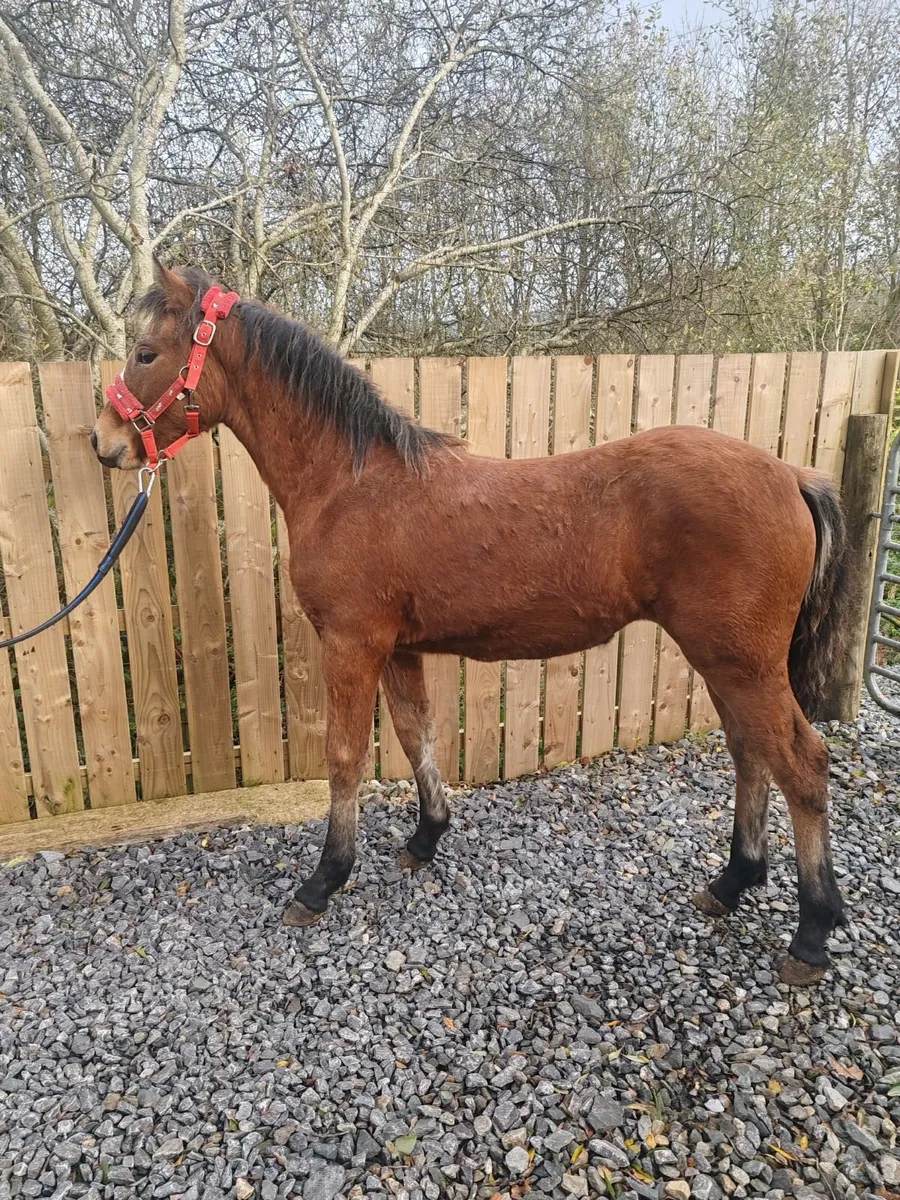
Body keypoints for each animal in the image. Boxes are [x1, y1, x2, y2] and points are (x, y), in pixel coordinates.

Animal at [92, 263, 855, 986]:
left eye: (147, 352)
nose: (104, 442)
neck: (350, 483)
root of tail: (791, 476)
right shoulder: (397, 648)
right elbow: (416, 736)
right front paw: (425, 839)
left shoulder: (351, 644)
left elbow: (345, 757)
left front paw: (323, 880)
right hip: (727, 660)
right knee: (750, 753)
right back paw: (732, 883)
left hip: (741, 662)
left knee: (802, 764)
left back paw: (813, 932)